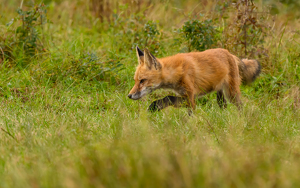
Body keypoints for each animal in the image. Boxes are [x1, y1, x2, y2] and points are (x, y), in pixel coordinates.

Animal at [127, 46, 262, 111]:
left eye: (142, 81)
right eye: (135, 80)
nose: (129, 96)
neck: (177, 71)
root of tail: (230, 54)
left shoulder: (190, 97)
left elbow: (170, 99)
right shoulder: (184, 95)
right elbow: (168, 98)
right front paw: (155, 107)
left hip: (231, 94)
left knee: (240, 106)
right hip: (220, 94)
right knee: (223, 107)